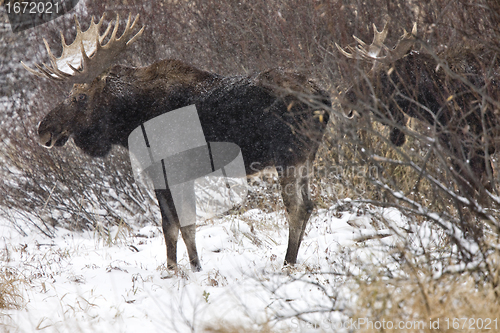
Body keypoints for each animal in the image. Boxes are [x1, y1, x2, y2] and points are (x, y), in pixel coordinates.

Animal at [23, 14, 330, 272]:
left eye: (80, 97)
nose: (43, 129)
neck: (129, 122)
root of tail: (323, 97)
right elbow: (181, 226)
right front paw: (185, 268)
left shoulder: (167, 171)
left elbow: (174, 226)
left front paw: (181, 270)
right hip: (306, 158)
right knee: (309, 204)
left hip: (289, 156)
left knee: (296, 208)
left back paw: (287, 263)